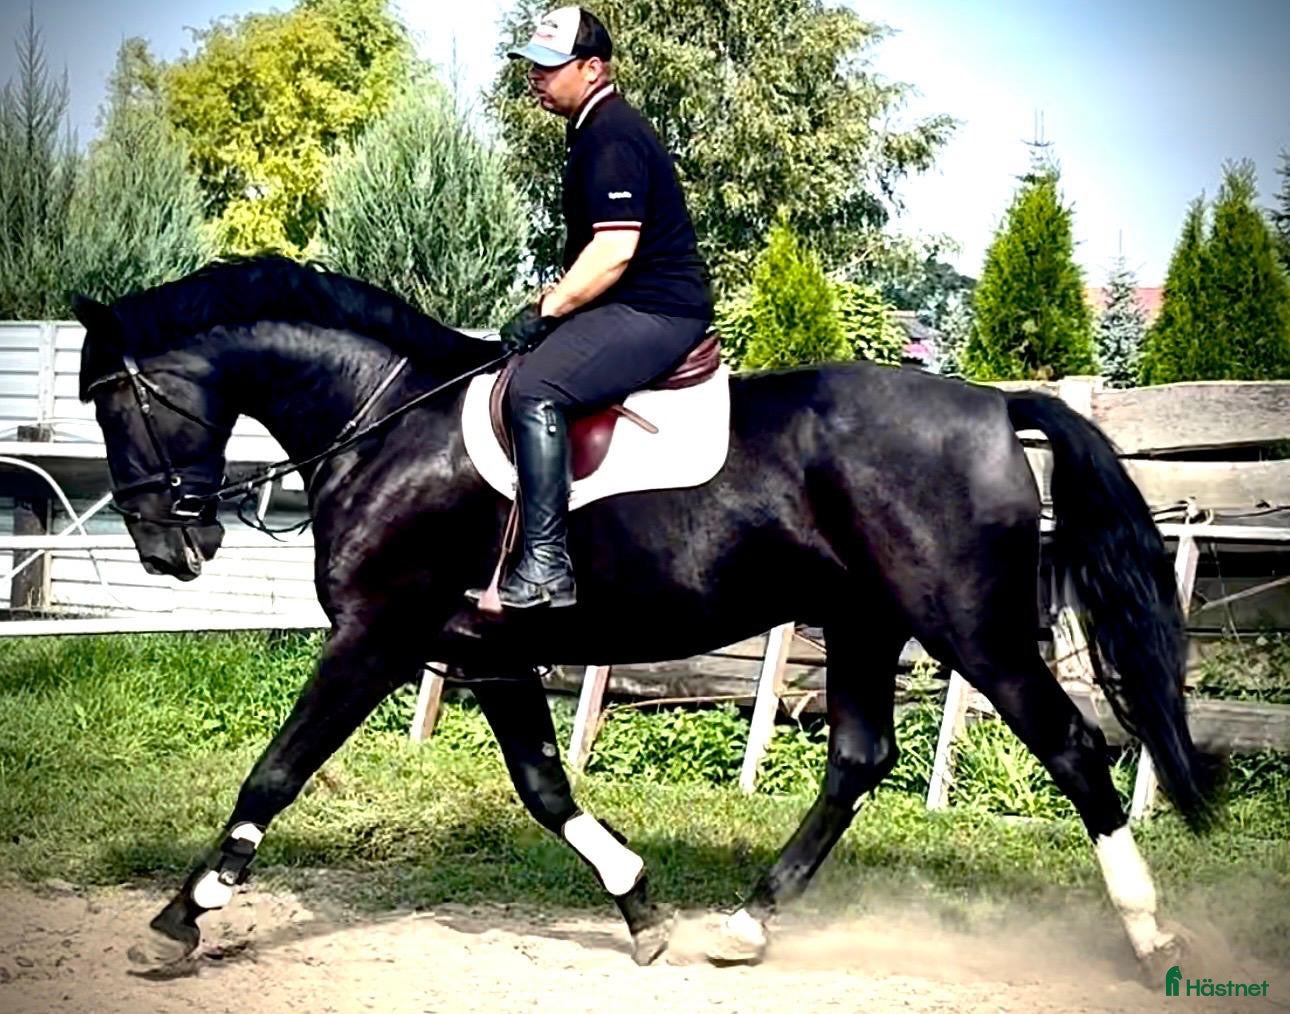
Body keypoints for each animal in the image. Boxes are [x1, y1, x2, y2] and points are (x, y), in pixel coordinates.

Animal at [71, 255, 1214, 974]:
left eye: (115, 403)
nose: (167, 549)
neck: (389, 426)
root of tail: (992, 404)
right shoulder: (483, 652)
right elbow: (544, 786)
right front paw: (639, 903)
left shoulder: (375, 639)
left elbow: (273, 774)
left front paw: (175, 923)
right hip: (863, 622)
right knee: (858, 759)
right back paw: (744, 927)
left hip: (970, 626)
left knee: (1072, 748)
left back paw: (1150, 937)